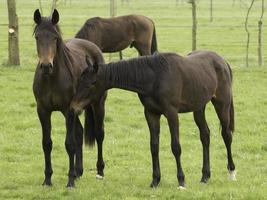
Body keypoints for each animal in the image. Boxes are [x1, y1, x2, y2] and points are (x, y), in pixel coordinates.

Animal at [31, 9, 106, 188]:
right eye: (37, 37)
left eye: (55, 38)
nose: (46, 66)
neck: (51, 78)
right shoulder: (43, 110)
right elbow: (47, 144)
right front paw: (47, 180)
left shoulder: (68, 109)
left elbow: (69, 144)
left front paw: (70, 181)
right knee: (79, 132)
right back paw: (79, 171)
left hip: (98, 104)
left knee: (99, 134)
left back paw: (99, 171)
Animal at [70, 50, 238, 188]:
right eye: (79, 80)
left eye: (91, 84)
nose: (73, 107)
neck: (154, 77)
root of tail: (222, 61)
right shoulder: (151, 114)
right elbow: (154, 146)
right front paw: (155, 180)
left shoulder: (171, 113)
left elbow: (175, 147)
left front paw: (181, 180)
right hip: (199, 107)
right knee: (205, 135)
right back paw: (205, 176)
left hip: (222, 105)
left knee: (226, 135)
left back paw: (231, 172)